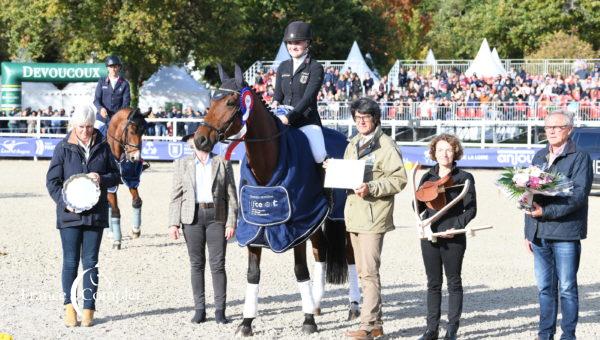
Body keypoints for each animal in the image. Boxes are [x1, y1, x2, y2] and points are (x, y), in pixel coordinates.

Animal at [105, 108, 148, 250]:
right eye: (131, 131)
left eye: (143, 132)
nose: (136, 157)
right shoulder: (110, 187)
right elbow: (115, 211)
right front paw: (117, 241)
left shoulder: (131, 179)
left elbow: (137, 202)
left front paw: (136, 230)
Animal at [195, 65, 358, 336]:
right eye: (210, 101)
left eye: (230, 102)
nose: (200, 140)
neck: (269, 164)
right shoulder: (254, 226)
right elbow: (253, 274)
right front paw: (246, 323)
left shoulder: (296, 226)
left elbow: (300, 270)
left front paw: (307, 322)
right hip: (316, 221)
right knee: (321, 251)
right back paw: (316, 304)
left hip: (340, 219)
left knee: (350, 254)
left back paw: (353, 306)